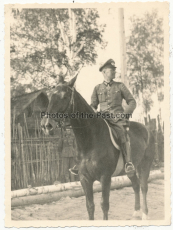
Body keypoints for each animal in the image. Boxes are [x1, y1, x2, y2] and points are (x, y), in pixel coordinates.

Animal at [41, 77, 155, 221]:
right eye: (50, 96)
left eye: (64, 97)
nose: (46, 125)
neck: (90, 140)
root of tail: (147, 129)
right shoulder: (84, 178)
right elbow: (90, 206)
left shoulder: (105, 178)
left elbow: (104, 205)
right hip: (131, 169)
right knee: (135, 185)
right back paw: (136, 212)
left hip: (144, 165)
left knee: (144, 187)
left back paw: (145, 214)